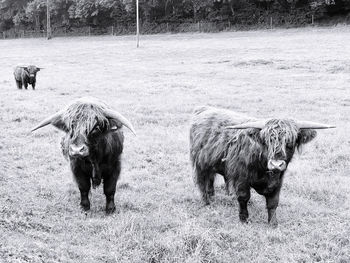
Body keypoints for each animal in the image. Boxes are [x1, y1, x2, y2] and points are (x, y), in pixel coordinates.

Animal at [190, 106, 334, 227]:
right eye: (267, 141)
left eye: (290, 142)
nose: (276, 164)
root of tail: (203, 109)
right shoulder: (241, 178)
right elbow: (243, 197)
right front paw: (244, 219)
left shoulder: (278, 180)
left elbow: (273, 202)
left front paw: (273, 223)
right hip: (199, 163)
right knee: (201, 181)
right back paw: (206, 202)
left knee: (210, 179)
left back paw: (213, 195)